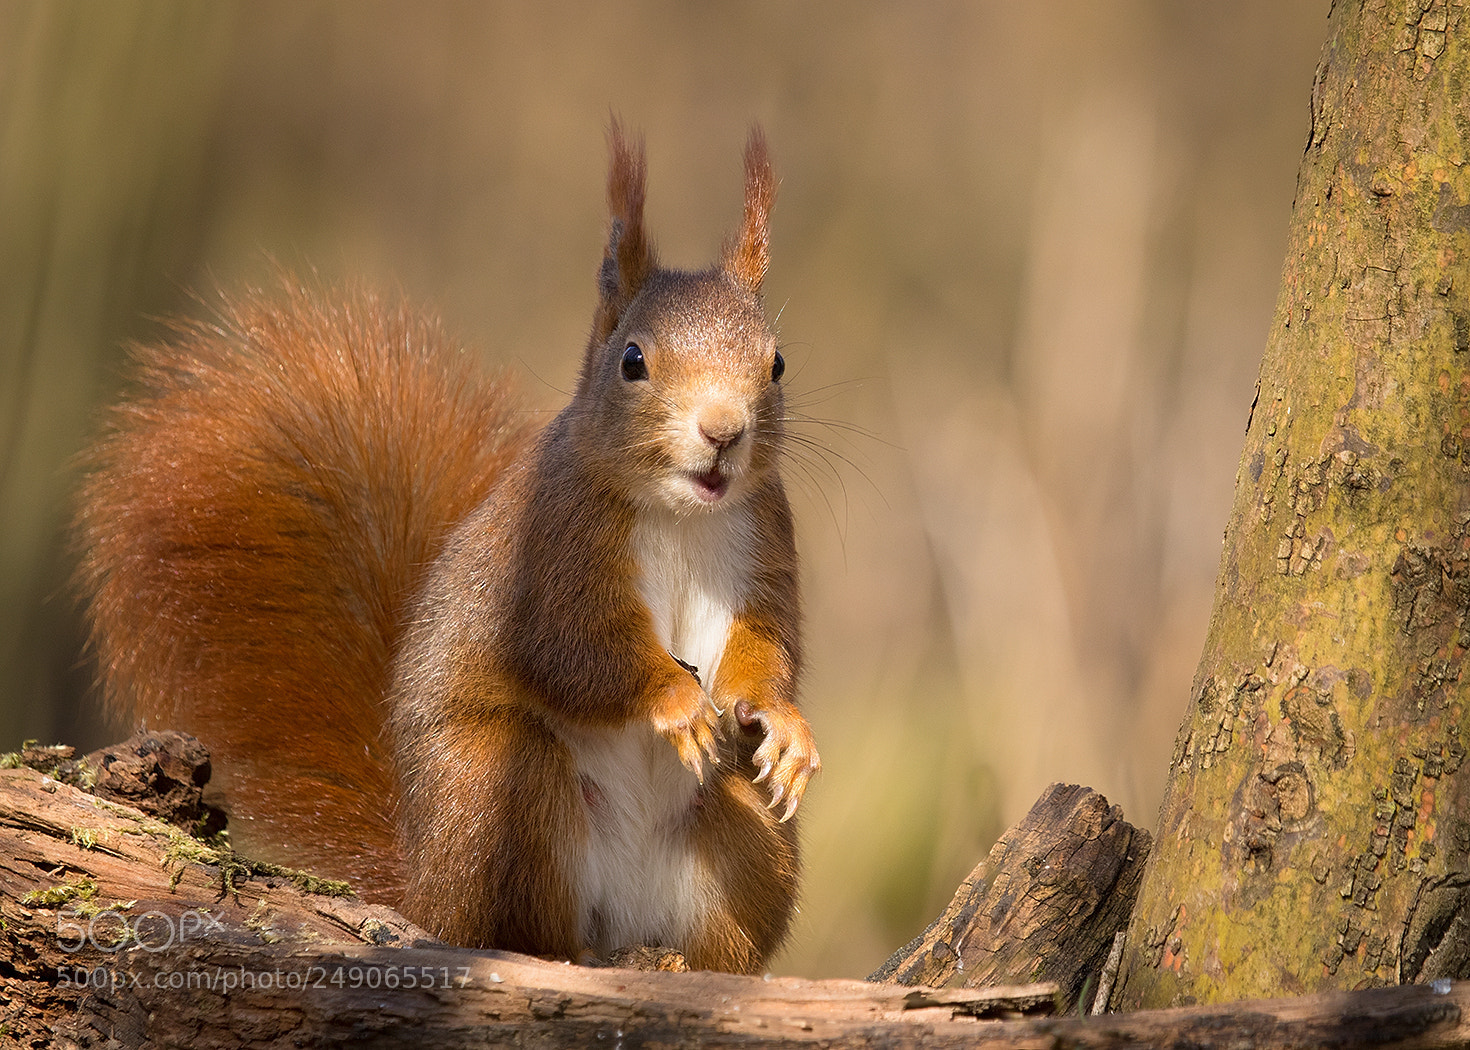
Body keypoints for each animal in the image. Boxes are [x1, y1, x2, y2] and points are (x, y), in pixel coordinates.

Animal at [73, 124, 820, 974]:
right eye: (633, 360)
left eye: (776, 363)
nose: (724, 432)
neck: (683, 515)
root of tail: (424, 884)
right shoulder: (548, 550)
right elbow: (571, 650)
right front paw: (675, 700)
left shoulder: (763, 544)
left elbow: (769, 648)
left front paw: (785, 726)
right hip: (498, 788)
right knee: (525, 930)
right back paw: (568, 953)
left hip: (746, 835)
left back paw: (674, 963)